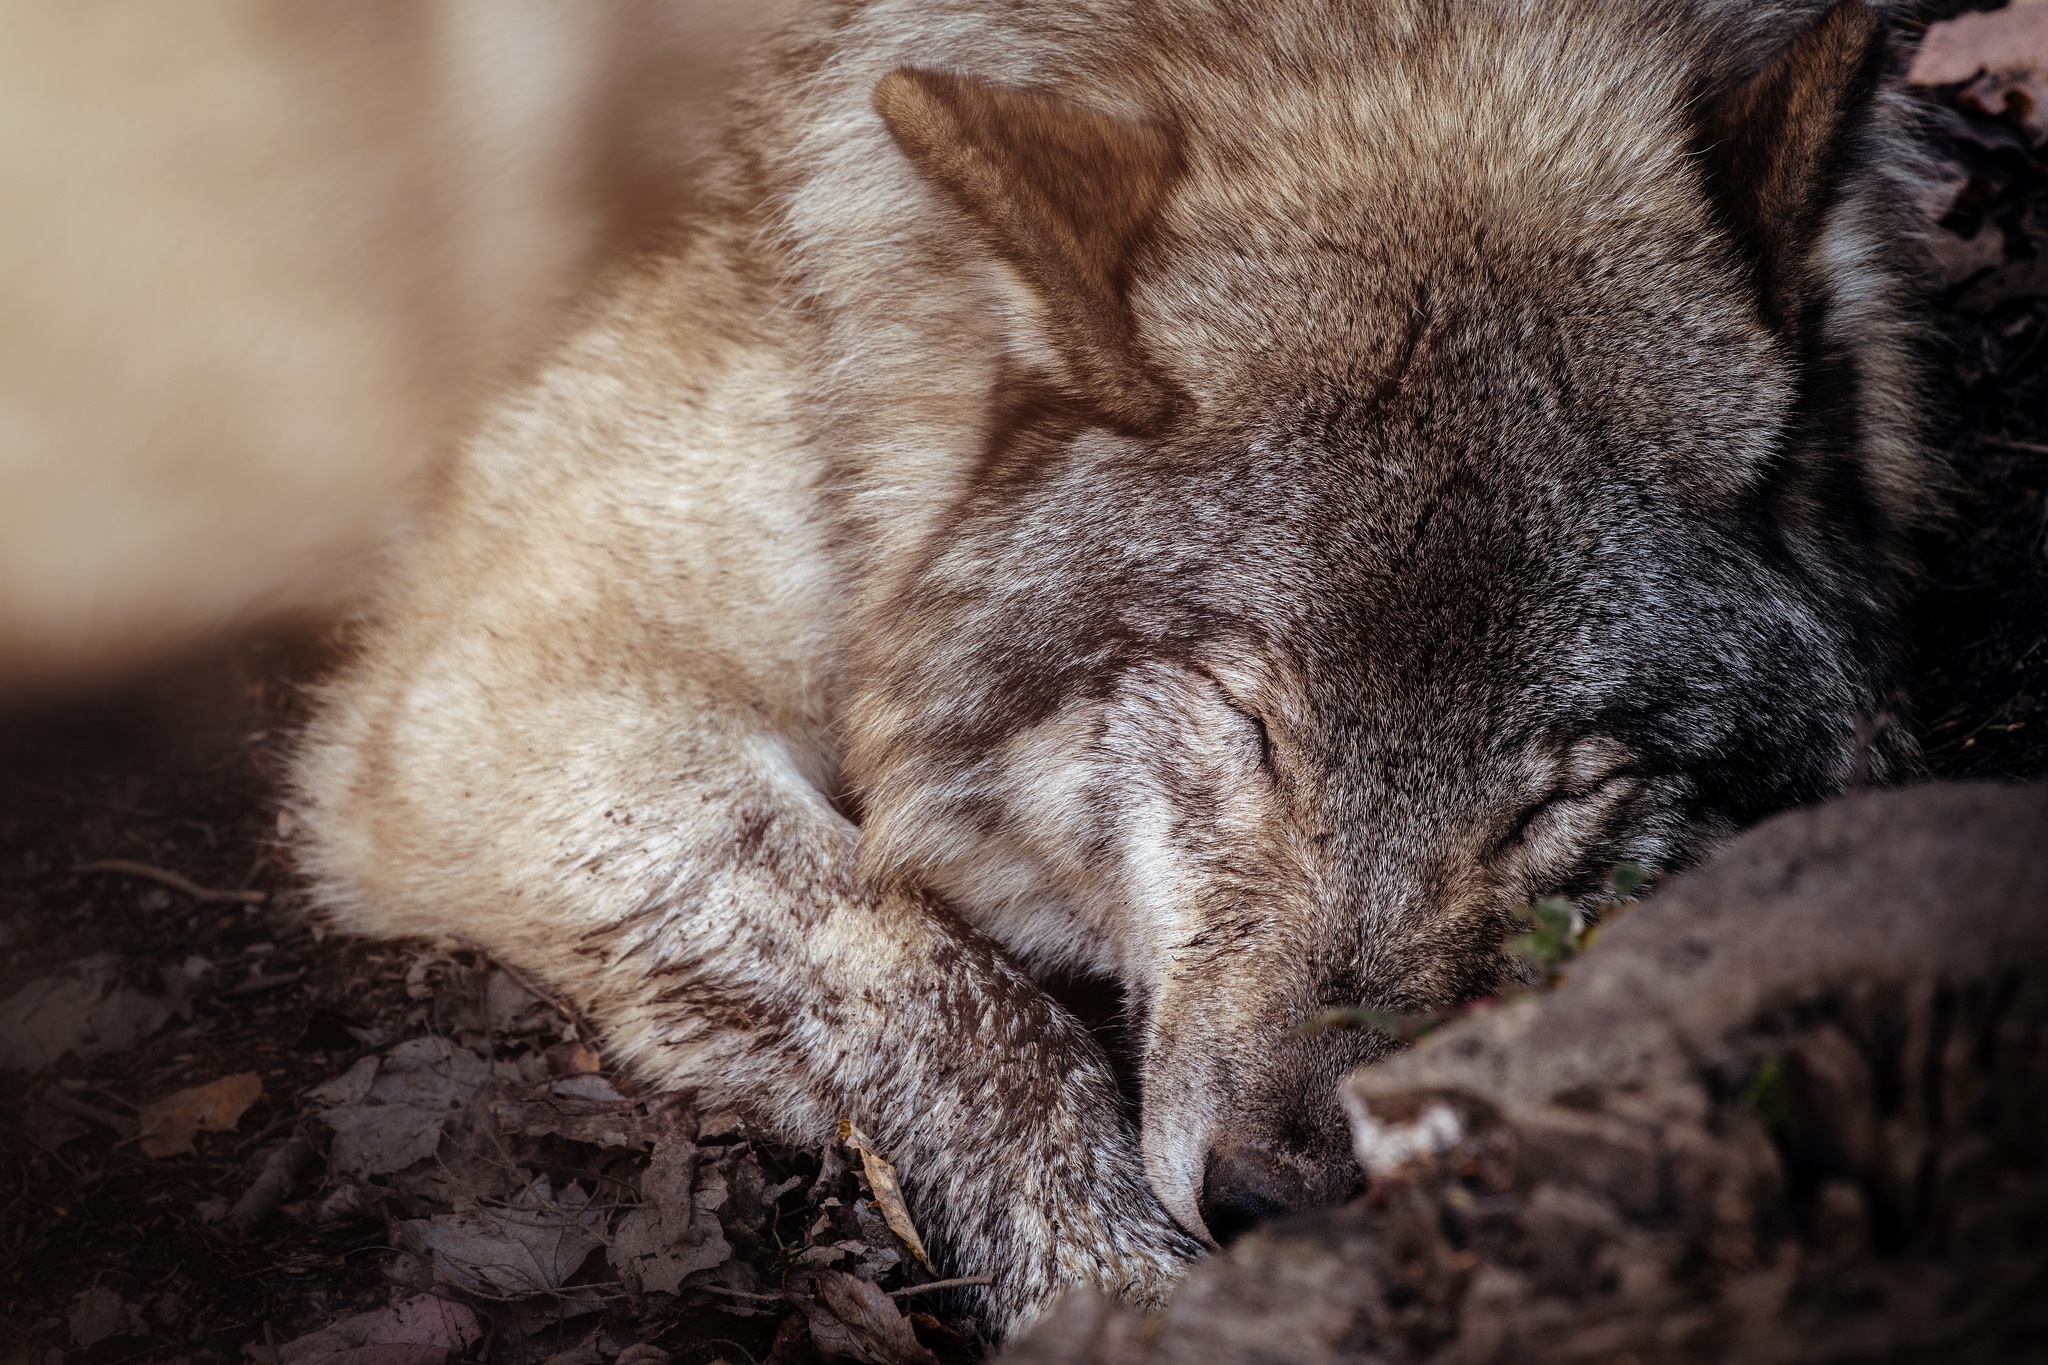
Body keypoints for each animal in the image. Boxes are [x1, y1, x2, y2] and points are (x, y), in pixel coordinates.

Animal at [288, 0, 1916, 1342]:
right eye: (1249, 725)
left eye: (1560, 796)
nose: (1285, 1201)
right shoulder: (498, 681)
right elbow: (943, 979)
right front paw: (1115, 1287)